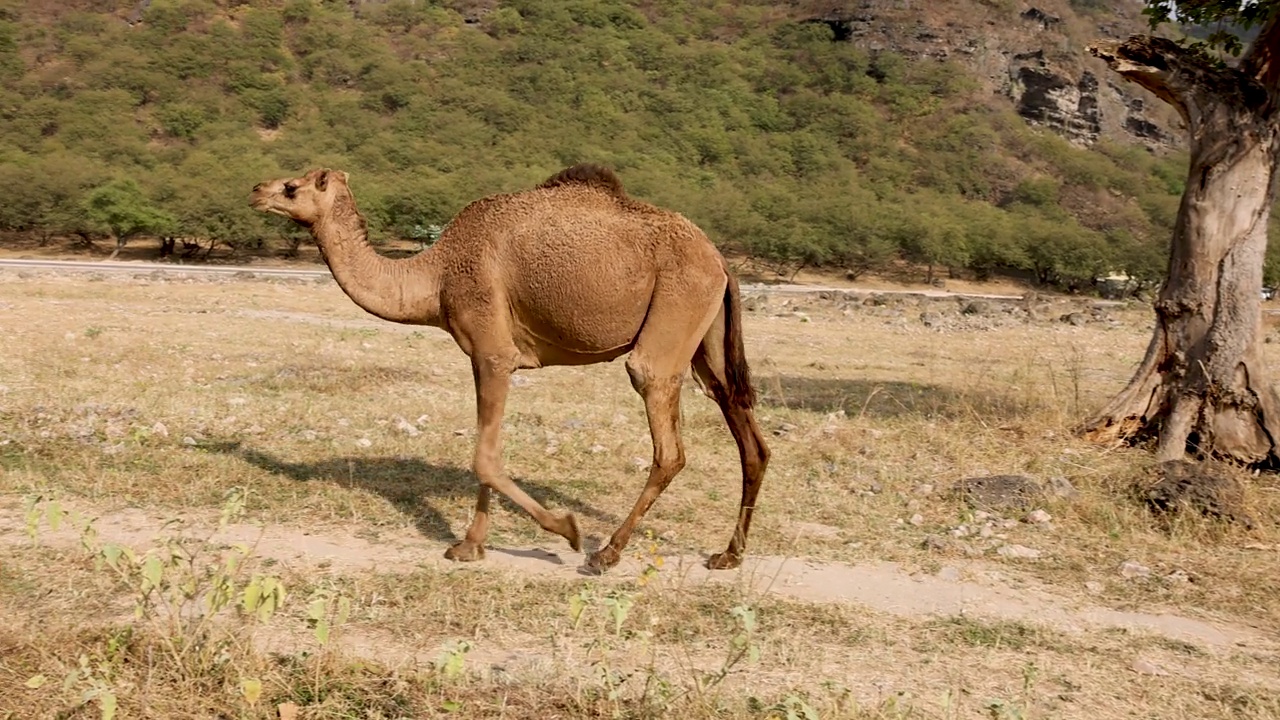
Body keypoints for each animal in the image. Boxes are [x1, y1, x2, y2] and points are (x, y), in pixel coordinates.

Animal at [249, 163, 768, 571]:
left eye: (292, 187)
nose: (255, 189)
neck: (435, 276)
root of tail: (719, 258)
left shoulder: (493, 349)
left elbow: (483, 456)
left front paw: (567, 530)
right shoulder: (486, 357)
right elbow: (489, 454)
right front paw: (468, 546)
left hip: (675, 311)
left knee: (666, 439)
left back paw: (606, 553)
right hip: (707, 337)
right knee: (745, 430)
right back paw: (729, 554)